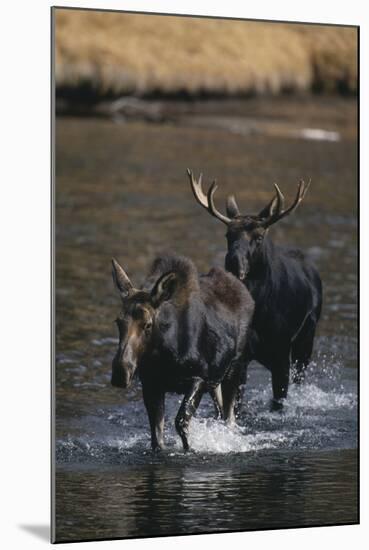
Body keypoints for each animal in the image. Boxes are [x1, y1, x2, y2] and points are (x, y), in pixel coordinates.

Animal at [109, 254, 253, 452]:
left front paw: (190, 449)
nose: (120, 372)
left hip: (235, 370)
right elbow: (157, 436)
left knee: (229, 418)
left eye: (147, 324)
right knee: (220, 411)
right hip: (216, 380)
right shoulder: (151, 384)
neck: (163, 356)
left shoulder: (198, 378)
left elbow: (181, 422)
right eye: (118, 321)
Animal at [187, 170, 322, 412]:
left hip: (306, 338)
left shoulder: (281, 353)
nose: (233, 261)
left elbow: (278, 401)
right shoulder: (240, 357)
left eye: (258, 237)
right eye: (228, 235)